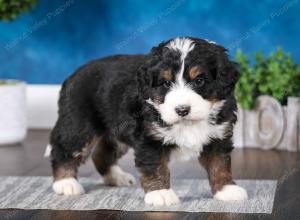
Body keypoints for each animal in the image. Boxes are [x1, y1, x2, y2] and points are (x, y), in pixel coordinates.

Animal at [49, 36, 247, 206]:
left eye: (199, 80)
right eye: (166, 83)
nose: (182, 110)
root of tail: (73, 75)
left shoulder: (218, 136)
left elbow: (219, 164)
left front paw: (226, 189)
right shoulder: (149, 137)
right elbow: (155, 166)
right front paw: (161, 193)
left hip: (116, 132)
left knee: (101, 155)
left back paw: (117, 178)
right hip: (79, 126)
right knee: (63, 150)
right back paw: (66, 183)